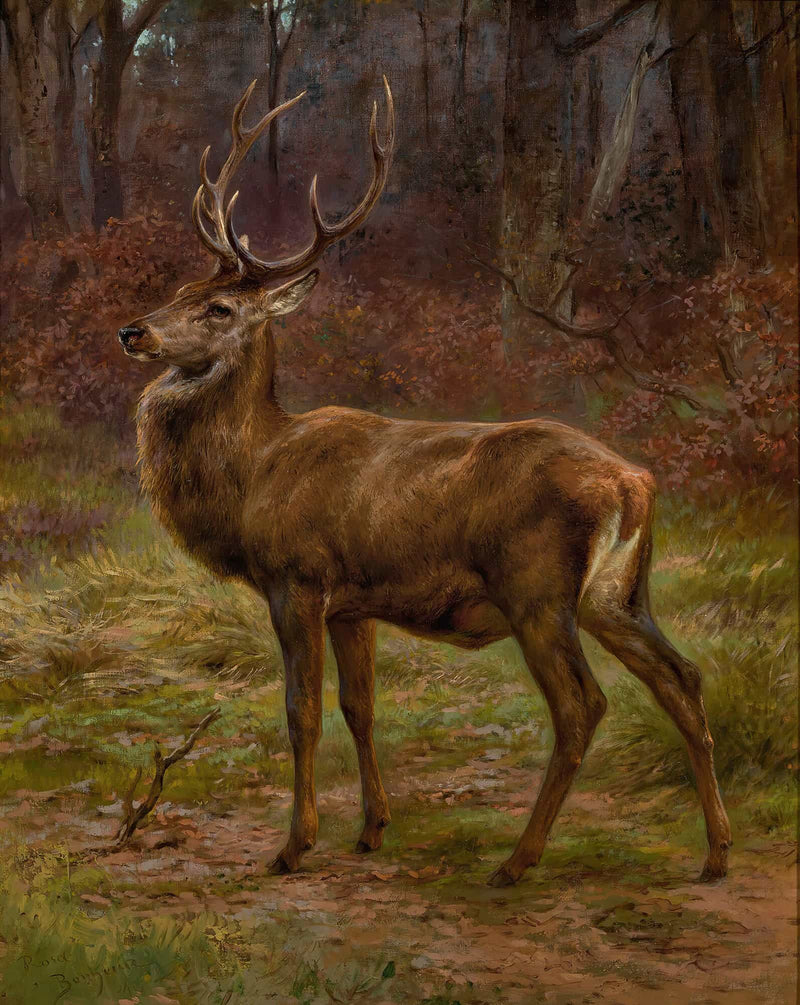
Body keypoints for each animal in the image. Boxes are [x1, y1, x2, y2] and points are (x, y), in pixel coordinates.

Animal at [118, 78, 731, 886]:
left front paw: (293, 845)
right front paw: (372, 828)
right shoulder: (351, 603)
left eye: (217, 307)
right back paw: (716, 854)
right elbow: (361, 707)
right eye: (180, 288)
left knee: (582, 707)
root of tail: (634, 482)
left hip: (537, 588)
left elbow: (301, 711)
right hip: (619, 593)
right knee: (683, 680)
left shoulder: (297, 577)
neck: (255, 473)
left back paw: (517, 861)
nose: (134, 331)